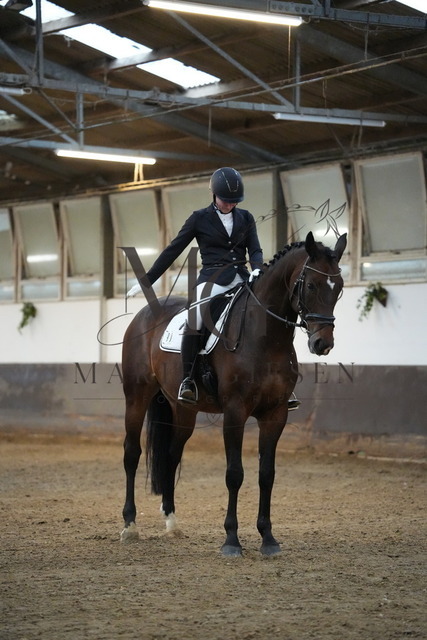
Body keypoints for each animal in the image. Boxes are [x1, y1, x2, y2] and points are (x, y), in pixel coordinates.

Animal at [121, 231, 347, 556]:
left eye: (338, 288)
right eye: (312, 285)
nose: (322, 344)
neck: (266, 337)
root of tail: (146, 312)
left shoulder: (275, 413)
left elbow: (267, 474)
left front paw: (268, 538)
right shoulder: (235, 412)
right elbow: (234, 474)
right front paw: (231, 540)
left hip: (183, 409)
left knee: (172, 455)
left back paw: (171, 522)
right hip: (136, 397)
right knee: (132, 453)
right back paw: (129, 525)